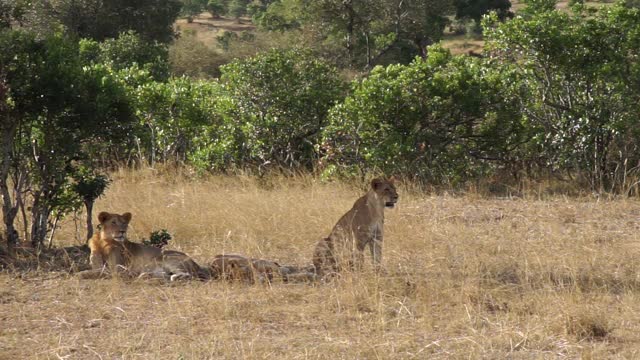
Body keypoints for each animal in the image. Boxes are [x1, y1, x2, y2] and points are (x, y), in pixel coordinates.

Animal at [77, 211, 208, 282]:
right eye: (113, 222)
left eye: (124, 223)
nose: (123, 231)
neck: (103, 242)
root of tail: (195, 262)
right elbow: (96, 269)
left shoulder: (119, 269)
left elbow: (99, 272)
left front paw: (80, 274)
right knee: (164, 275)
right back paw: (145, 275)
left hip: (167, 258)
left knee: (187, 275)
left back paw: (174, 277)